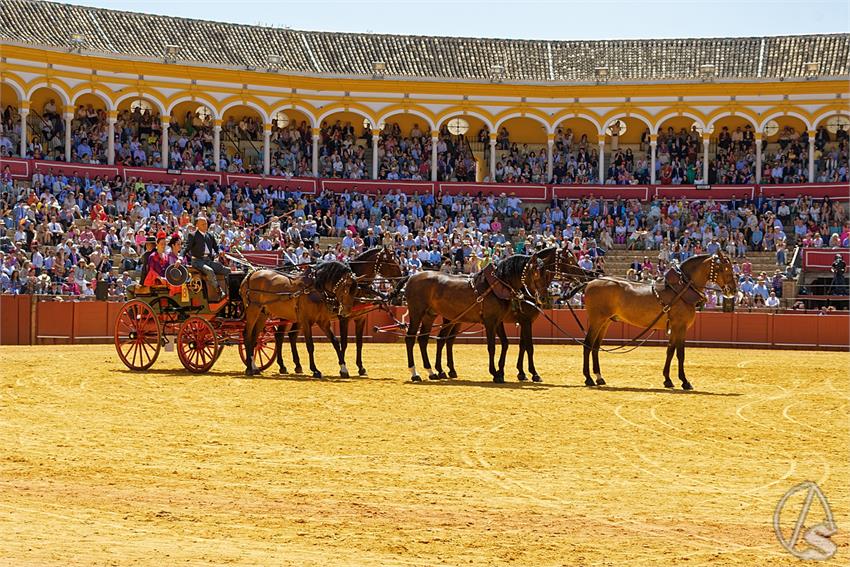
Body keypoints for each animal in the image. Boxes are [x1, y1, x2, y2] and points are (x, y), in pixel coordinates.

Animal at [402, 254, 544, 384]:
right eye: (536, 273)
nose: (540, 297)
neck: (494, 287)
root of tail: (412, 276)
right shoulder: (492, 322)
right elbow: (493, 347)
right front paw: (496, 373)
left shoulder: (499, 321)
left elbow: (506, 344)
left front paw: (502, 372)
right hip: (417, 313)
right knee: (411, 338)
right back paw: (415, 374)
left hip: (431, 315)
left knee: (425, 340)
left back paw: (432, 372)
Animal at [580, 253, 732, 390]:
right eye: (725, 269)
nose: (733, 290)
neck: (680, 291)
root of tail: (590, 282)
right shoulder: (680, 326)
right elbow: (680, 353)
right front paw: (685, 381)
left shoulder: (674, 327)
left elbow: (670, 351)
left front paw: (668, 379)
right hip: (596, 320)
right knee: (588, 345)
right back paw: (588, 378)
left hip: (605, 322)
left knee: (595, 346)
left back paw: (599, 377)